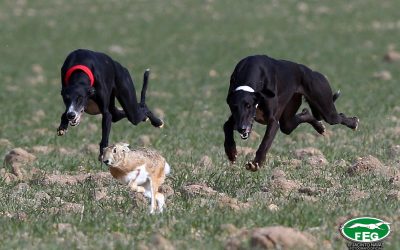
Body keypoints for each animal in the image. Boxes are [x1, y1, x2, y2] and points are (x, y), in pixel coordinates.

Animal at [223, 55, 358, 171]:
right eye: (234, 107)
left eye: (249, 106)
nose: (241, 128)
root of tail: (310, 71)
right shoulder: (237, 117)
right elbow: (226, 125)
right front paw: (231, 152)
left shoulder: (272, 121)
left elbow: (264, 143)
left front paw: (255, 164)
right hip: (289, 117)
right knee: (303, 116)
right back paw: (319, 127)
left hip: (326, 109)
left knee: (337, 117)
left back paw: (353, 123)